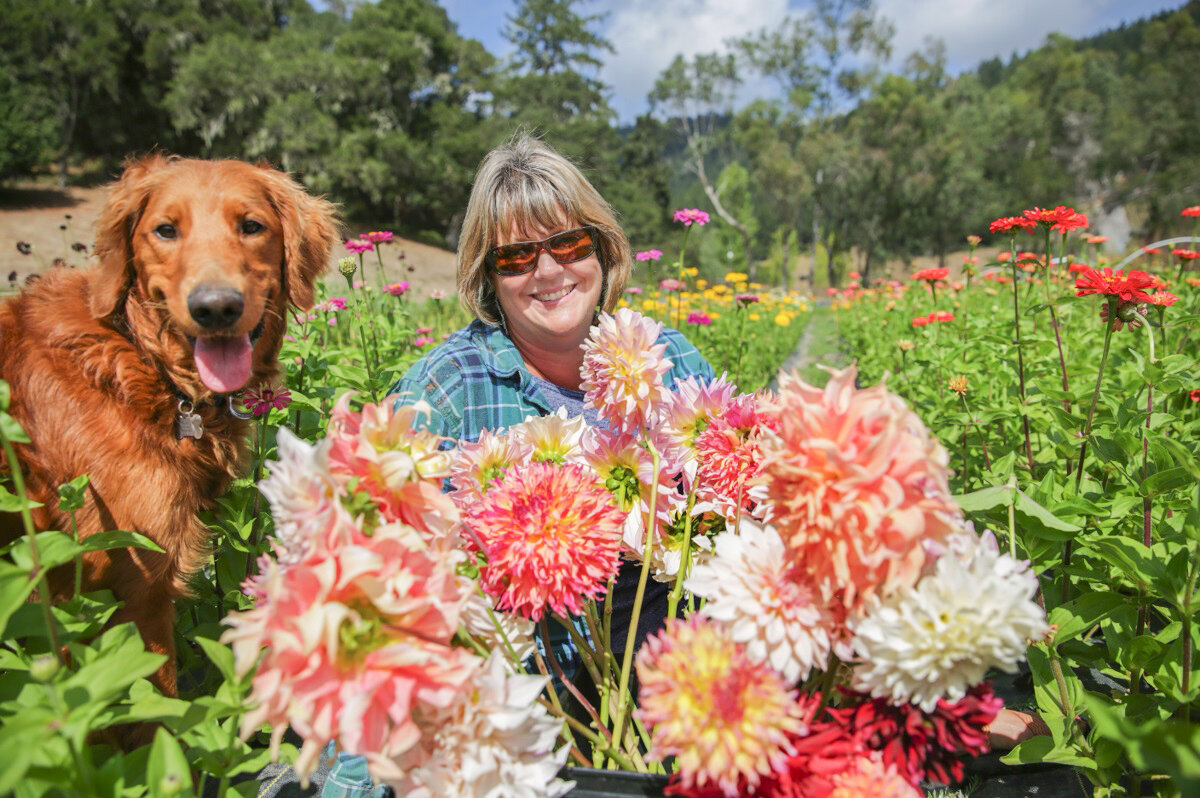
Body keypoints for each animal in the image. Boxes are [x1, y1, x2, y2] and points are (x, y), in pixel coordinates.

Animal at [1, 153, 338, 705]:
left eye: (251, 226)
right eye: (165, 230)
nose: (216, 307)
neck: (143, 361)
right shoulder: (128, 588)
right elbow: (156, 704)